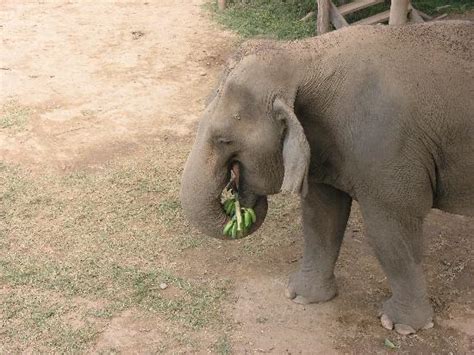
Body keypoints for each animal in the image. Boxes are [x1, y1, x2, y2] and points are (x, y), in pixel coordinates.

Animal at [180, 20, 472, 336]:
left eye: (224, 140)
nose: (236, 194)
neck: (303, 56)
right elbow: (321, 214)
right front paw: (299, 296)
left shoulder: (388, 150)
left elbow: (392, 231)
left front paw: (401, 326)